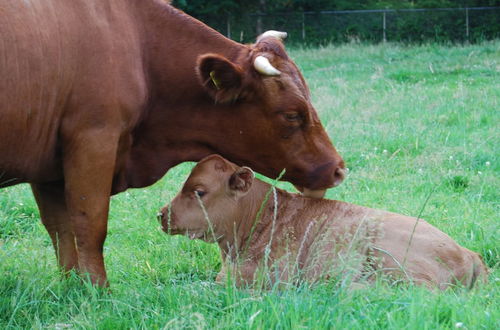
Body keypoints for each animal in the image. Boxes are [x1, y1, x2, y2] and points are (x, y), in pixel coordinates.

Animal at [0, 0, 344, 286]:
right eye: (292, 114)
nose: (338, 169)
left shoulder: (49, 169)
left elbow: (61, 231)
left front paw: (73, 287)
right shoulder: (93, 141)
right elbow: (90, 227)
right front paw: (98, 292)